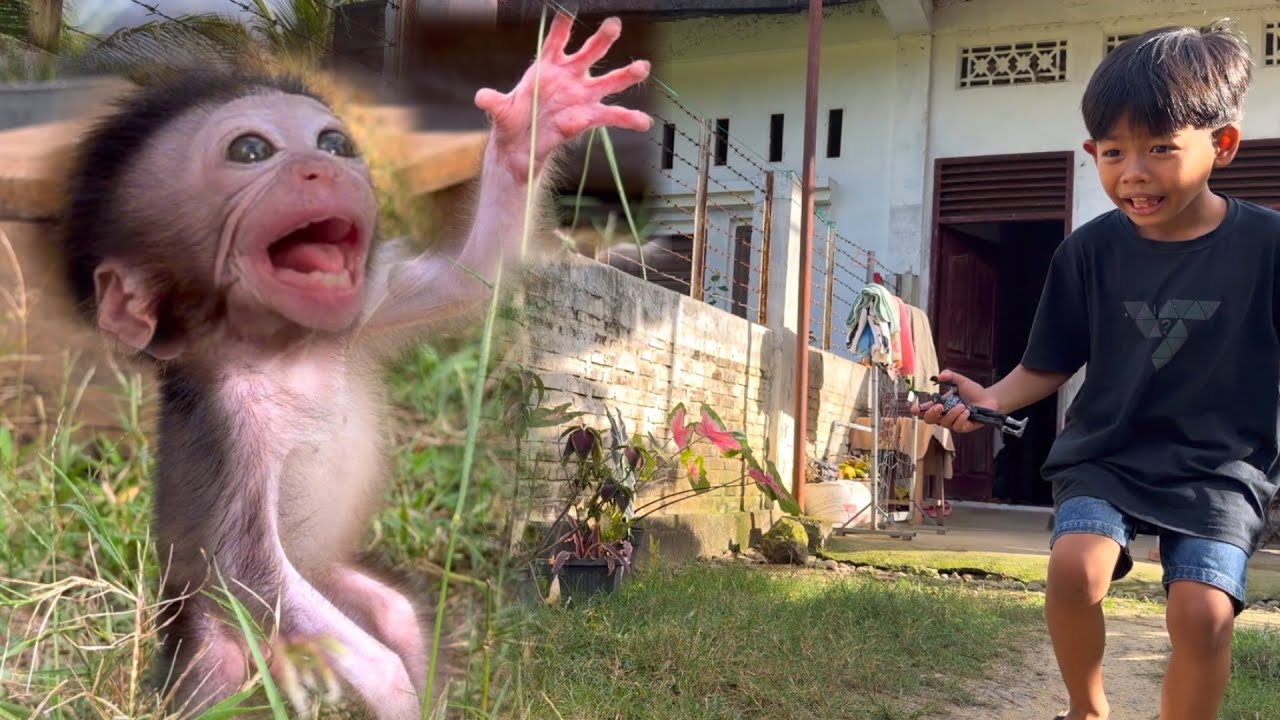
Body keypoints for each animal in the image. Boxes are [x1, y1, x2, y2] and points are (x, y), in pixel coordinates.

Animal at [54, 13, 651, 719]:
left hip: (323, 577)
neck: (289, 352)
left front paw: (537, 114)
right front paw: (385, 678)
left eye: (333, 141)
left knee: (395, 611)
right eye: (250, 151)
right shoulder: (228, 423)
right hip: (218, 624)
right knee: (216, 673)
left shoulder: (363, 312)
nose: (326, 165)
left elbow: (476, 276)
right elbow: (242, 563)